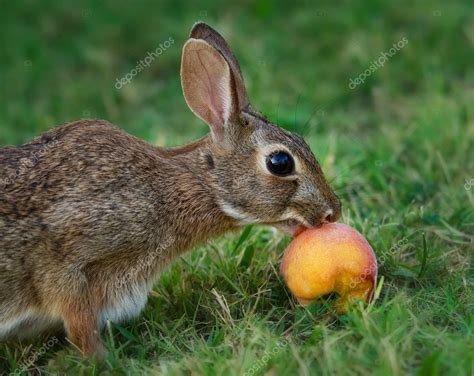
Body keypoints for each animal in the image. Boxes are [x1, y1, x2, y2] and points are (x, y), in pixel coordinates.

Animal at [0, 22, 340, 356]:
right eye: (280, 162)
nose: (332, 212)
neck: (187, 186)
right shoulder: (69, 261)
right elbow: (80, 324)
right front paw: (104, 361)